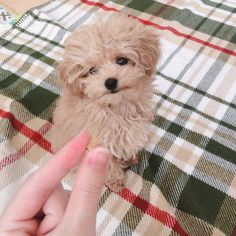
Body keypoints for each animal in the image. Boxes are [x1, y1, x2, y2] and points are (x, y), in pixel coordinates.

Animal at [51, 12, 160, 192]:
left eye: (122, 60)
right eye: (92, 70)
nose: (110, 82)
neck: (118, 107)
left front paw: (130, 157)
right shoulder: (98, 143)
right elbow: (109, 164)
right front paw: (115, 180)